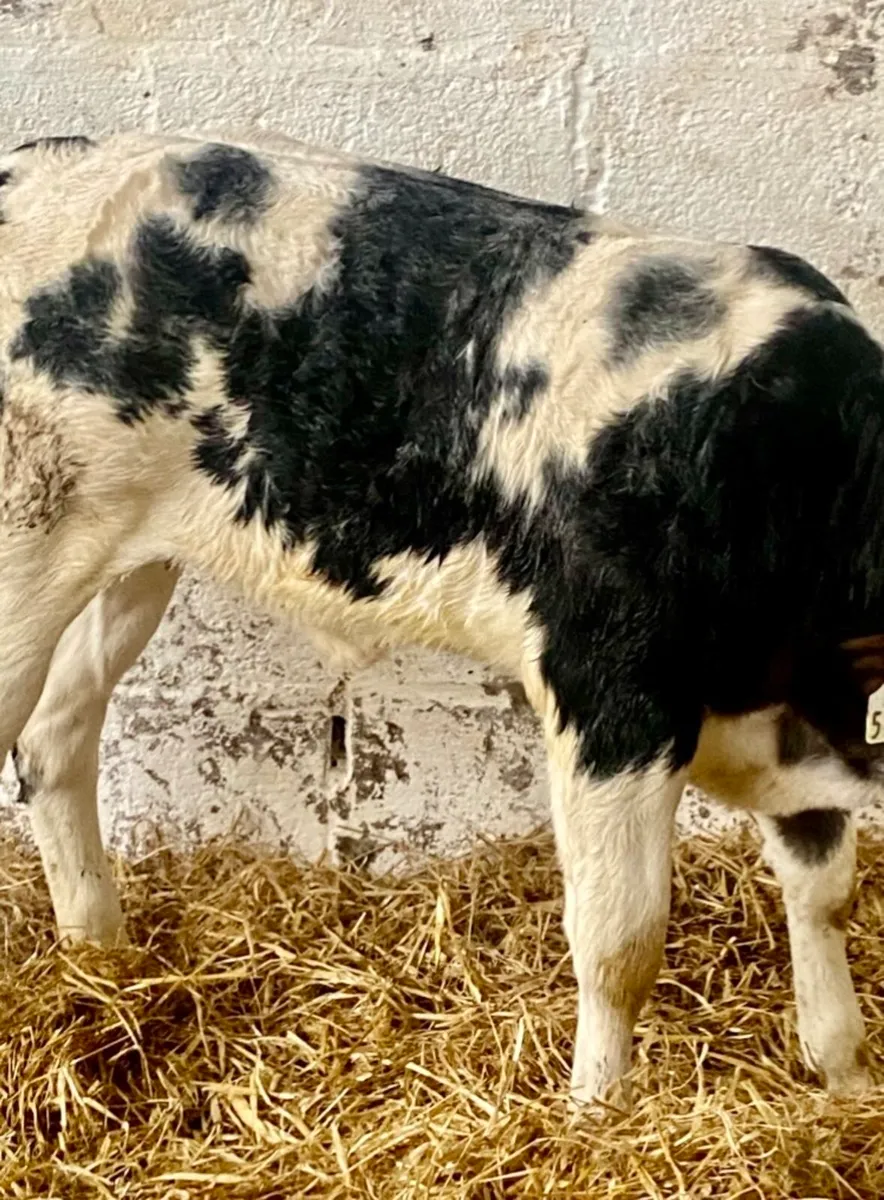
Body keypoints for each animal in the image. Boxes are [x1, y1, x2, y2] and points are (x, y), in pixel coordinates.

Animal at [0, 129, 882, 1113]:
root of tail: (35, 159)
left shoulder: (803, 714)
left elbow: (825, 889)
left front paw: (846, 1082)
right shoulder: (609, 689)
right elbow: (622, 942)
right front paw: (595, 1115)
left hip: (128, 555)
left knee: (55, 736)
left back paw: (101, 959)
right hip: (28, 538)